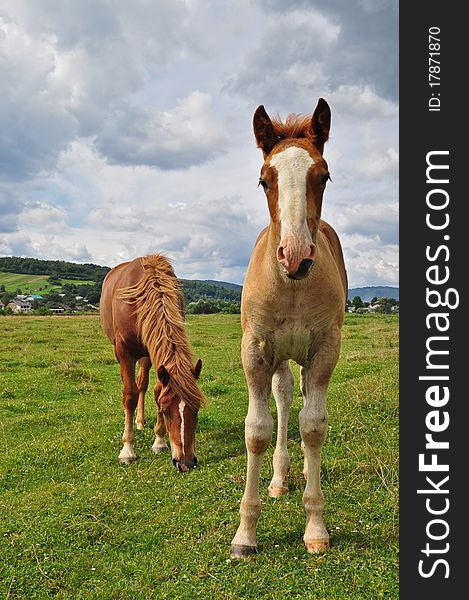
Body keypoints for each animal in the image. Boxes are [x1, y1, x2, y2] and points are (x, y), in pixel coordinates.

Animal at [99, 255, 204, 472]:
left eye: (196, 409)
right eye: (166, 412)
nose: (185, 463)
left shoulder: (152, 350)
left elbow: (156, 390)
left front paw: (159, 441)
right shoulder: (124, 352)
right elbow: (129, 395)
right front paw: (127, 450)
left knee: (142, 383)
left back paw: (140, 421)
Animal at [230, 98, 348, 556]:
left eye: (324, 175)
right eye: (265, 180)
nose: (295, 256)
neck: (294, 286)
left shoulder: (325, 350)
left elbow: (313, 426)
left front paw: (315, 527)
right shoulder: (256, 350)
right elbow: (257, 431)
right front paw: (244, 535)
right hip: (279, 357)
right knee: (281, 400)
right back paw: (278, 479)